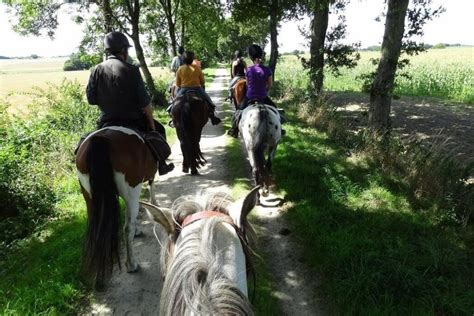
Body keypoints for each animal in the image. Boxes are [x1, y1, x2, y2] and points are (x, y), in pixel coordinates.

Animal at [75, 126, 158, 288]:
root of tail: (101, 138)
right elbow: (151, 185)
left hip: (89, 197)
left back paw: (98, 277)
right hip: (132, 190)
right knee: (127, 228)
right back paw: (131, 264)